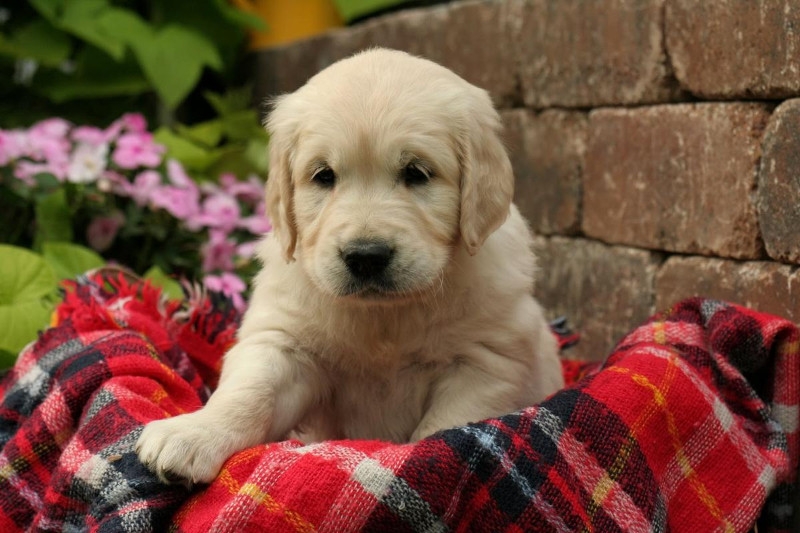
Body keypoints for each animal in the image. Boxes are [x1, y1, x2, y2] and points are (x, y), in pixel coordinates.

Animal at [136, 47, 564, 484]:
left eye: (417, 172)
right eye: (324, 175)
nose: (366, 256)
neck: (384, 318)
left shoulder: (486, 363)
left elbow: (444, 427)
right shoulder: (283, 343)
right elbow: (249, 392)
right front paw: (193, 432)